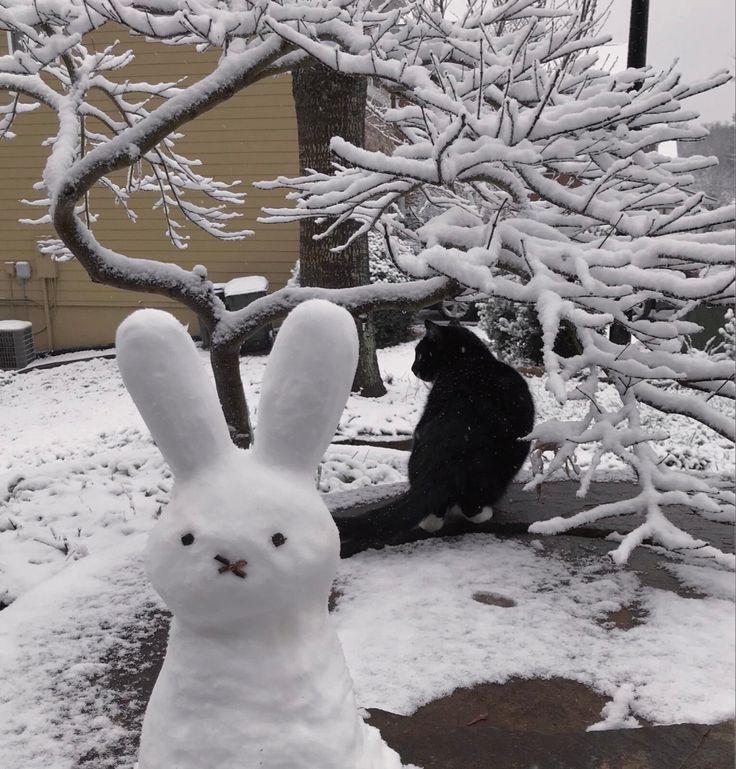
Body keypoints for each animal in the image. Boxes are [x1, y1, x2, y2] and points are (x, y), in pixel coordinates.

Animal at [338, 320, 536, 556]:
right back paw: (484, 512)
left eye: (421, 354)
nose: (414, 369)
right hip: (503, 463)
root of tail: (453, 439)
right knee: (473, 504)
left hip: (419, 447)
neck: (472, 359)